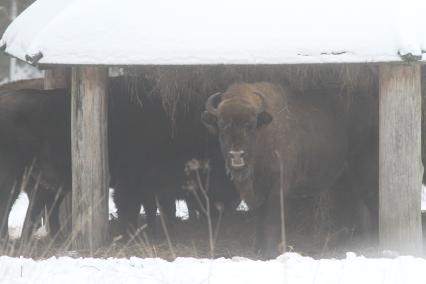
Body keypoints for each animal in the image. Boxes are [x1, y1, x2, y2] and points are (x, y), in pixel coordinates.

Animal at [201, 82, 348, 258]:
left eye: (250, 125)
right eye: (222, 125)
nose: (236, 155)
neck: (263, 135)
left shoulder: (278, 187)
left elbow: (271, 220)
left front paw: (270, 252)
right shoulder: (256, 193)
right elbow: (259, 220)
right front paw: (258, 250)